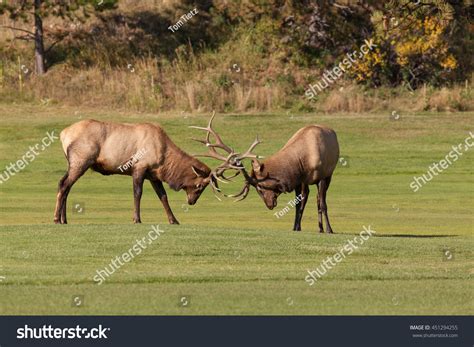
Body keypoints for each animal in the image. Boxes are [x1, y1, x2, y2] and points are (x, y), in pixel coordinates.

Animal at [53, 118, 224, 224]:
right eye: (200, 185)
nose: (191, 201)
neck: (165, 158)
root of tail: (63, 134)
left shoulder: (154, 175)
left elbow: (163, 196)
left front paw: (174, 220)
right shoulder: (139, 166)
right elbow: (137, 193)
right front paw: (136, 219)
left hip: (73, 163)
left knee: (64, 185)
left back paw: (64, 219)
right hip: (81, 161)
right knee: (64, 185)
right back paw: (56, 219)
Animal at [193, 117, 340, 234]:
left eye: (260, 187)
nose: (269, 205)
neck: (303, 160)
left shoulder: (322, 176)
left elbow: (323, 204)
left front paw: (330, 229)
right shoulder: (299, 180)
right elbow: (298, 204)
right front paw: (296, 227)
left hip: (329, 175)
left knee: (319, 199)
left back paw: (322, 228)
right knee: (309, 198)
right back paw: (317, 227)